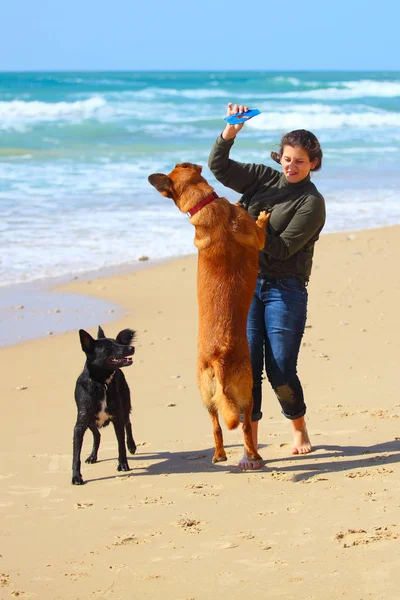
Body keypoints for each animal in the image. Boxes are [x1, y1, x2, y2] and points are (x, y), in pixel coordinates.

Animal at [70, 326, 136, 486]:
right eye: (109, 347)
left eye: (117, 343)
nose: (132, 348)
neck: (101, 384)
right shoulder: (79, 426)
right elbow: (76, 456)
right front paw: (76, 477)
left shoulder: (117, 418)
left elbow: (120, 445)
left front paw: (123, 464)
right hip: (90, 421)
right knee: (97, 435)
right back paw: (92, 456)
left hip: (125, 407)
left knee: (128, 424)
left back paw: (132, 445)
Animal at [148, 163, 270, 464]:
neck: (204, 204)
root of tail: (218, 358)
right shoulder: (257, 238)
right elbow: (261, 229)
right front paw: (262, 215)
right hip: (248, 389)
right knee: (246, 425)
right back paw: (253, 456)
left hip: (206, 396)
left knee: (216, 425)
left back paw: (219, 455)